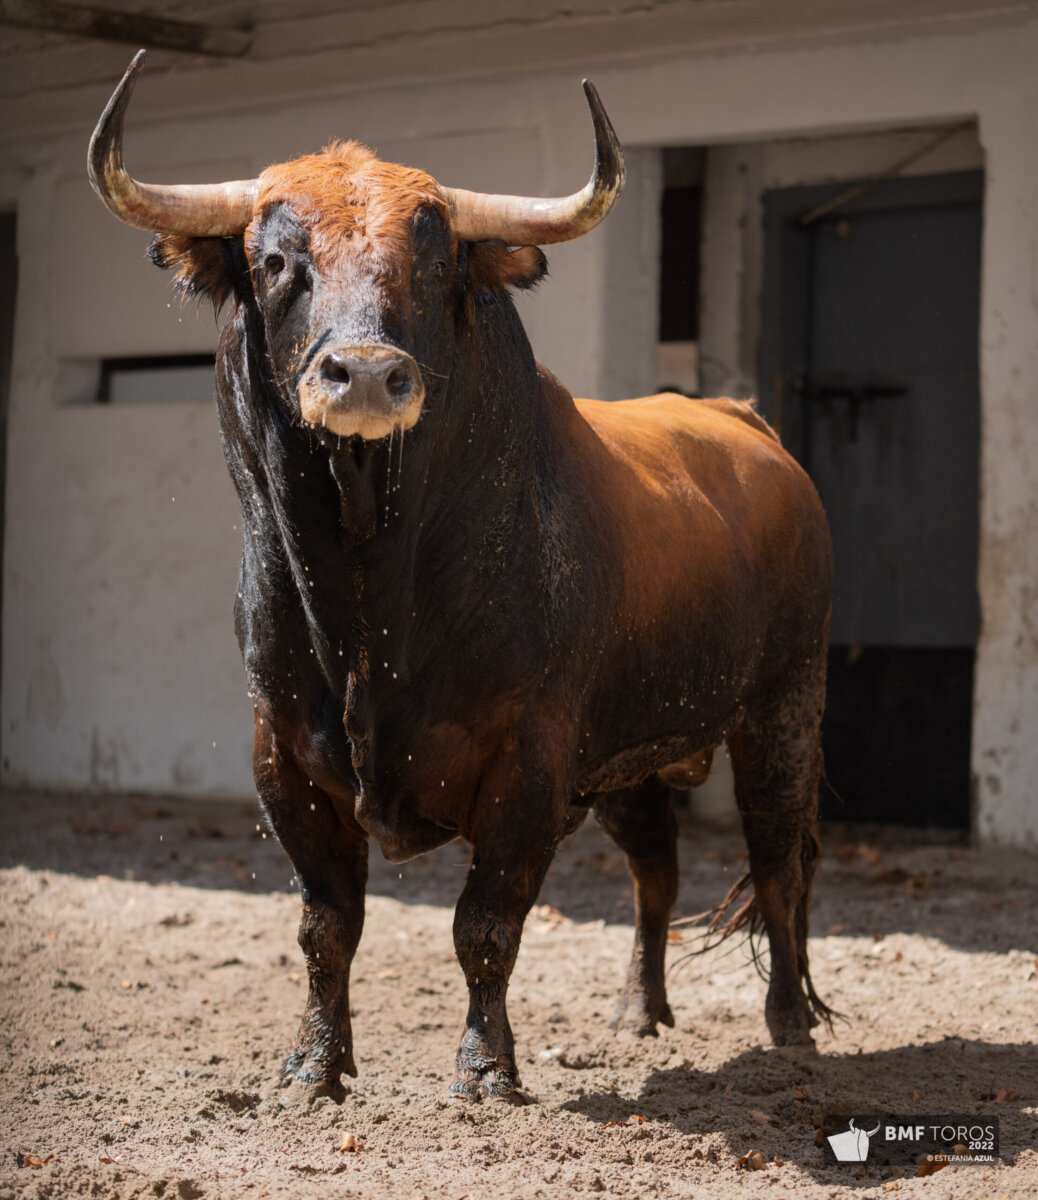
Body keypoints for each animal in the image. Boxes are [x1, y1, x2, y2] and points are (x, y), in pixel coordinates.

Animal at [89, 51, 834, 1105]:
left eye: (435, 264)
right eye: (275, 262)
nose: (364, 374)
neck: (368, 595)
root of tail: (744, 423)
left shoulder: (530, 758)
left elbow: (486, 923)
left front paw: (486, 1068)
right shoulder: (284, 757)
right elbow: (326, 927)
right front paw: (312, 1066)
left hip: (782, 709)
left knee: (778, 860)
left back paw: (788, 1026)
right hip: (632, 747)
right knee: (656, 865)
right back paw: (638, 1012)